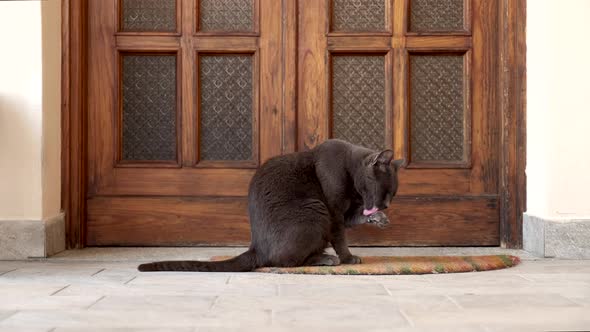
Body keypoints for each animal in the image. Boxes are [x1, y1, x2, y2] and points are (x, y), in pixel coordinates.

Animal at [141, 139, 404, 272]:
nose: (386, 206)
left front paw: (379, 219)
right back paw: (327, 259)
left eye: (392, 194)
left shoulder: (346, 212)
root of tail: (256, 247)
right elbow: (340, 238)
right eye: (385, 191)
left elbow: (355, 218)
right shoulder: (333, 211)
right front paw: (349, 258)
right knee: (285, 261)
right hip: (315, 210)